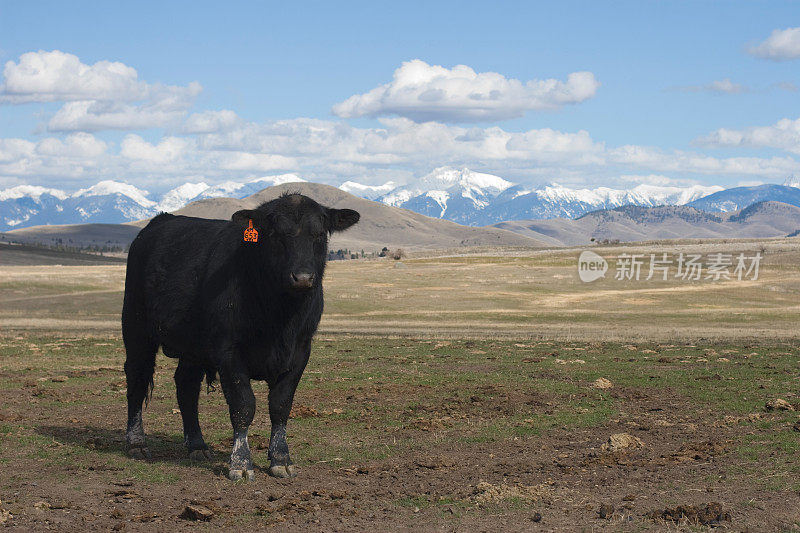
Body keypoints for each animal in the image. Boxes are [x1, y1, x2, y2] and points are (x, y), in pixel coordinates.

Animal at [122, 193, 360, 480]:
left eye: (319, 234)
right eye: (275, 234)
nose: (302, 277)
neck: (280, 317)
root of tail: (159, 221)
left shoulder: (301, 350)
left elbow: (280, 405)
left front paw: (281, 459)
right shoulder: (228, 351)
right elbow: (243, 405)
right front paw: (241, 463)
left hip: (193, 347)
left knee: (186, 386)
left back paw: (197, 445)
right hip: (136, 327)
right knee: (137, 378)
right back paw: (136, 443)